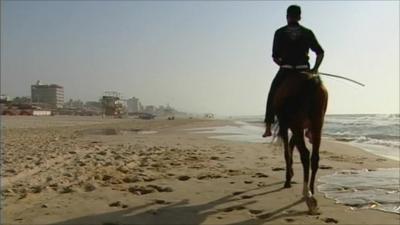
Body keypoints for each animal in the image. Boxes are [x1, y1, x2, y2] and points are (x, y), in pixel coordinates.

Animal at [274, 71, 326, 214]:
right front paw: (290, 174)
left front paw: (288, 179)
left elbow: (287, 152)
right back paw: (311, 192)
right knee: (314, 157)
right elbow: (291, 147)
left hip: (296, 123)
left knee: (305, 155)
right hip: (317, 122)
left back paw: (307, 196)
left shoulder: (286, 125)